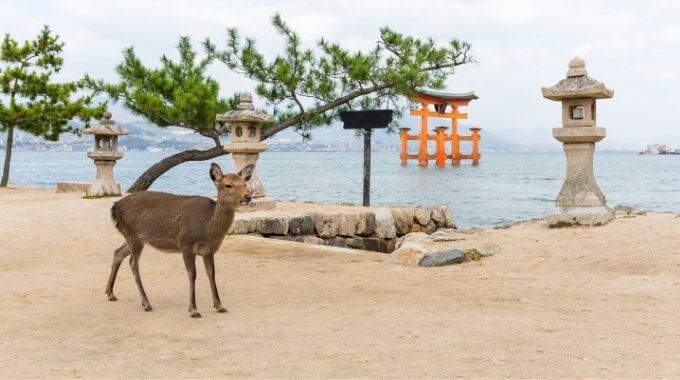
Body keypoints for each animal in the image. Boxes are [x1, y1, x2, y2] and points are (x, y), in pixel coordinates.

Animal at [105, 163, 254, 318]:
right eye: (228, 185)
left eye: (244, 184)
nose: (247, 197)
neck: (208, 229)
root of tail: (114, 207)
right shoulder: (186, 244)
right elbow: (192, 274)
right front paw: (194, 309)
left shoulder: (209, 251)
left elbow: (211, 274)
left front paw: (219, 306)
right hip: (133, 235)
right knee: (133, 264)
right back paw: (146, 303)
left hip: (134, 237)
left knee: (118, 252)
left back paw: (110, 294)